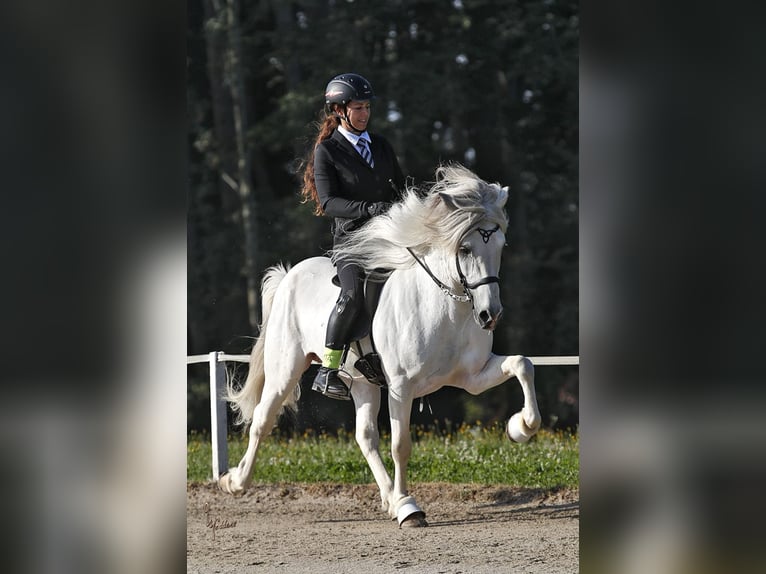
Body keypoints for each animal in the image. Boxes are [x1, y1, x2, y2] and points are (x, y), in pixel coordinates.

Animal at [220, 164, 544, 528]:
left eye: (501, 244)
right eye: (465, 249)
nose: (490, 315)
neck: (447, 309)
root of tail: (290, 275)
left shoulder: (472, 377)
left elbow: (523, 363)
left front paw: (521, 427)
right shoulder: (401, 387)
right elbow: (401, 445)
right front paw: (410, 509)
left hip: (361, 382)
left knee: (365, 437)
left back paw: (390, 499)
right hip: (285, 369)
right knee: (263, 420)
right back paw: (234, 481)